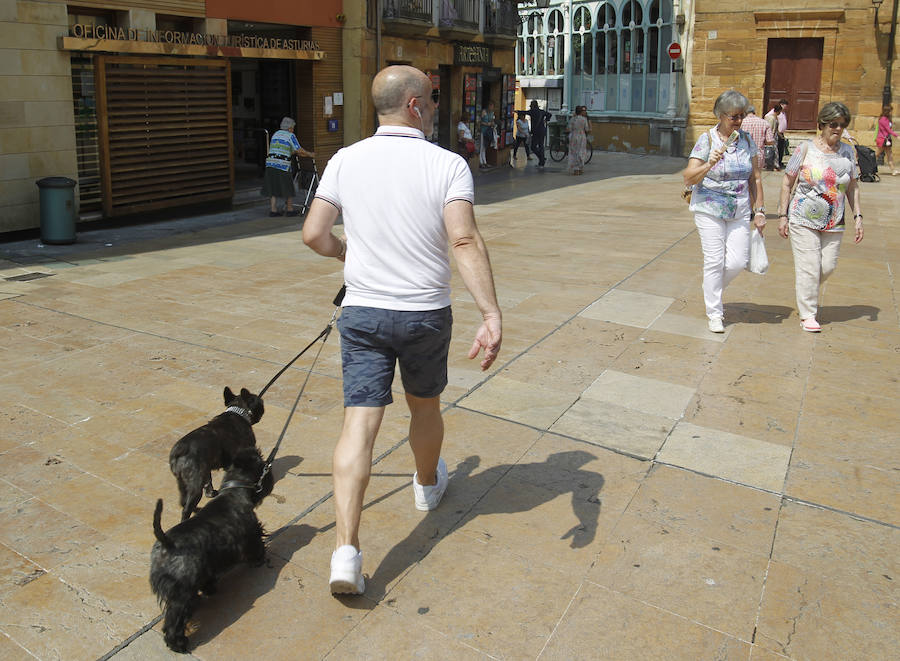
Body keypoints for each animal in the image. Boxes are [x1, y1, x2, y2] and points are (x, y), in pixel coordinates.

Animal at [150, 446, 274, 652]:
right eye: (262, 465)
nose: (270, 474)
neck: (234, 491)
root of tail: (167, 544)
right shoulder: (250, 534)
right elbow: (256, 546)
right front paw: (259, 560)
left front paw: (210, 589)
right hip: (182, 594)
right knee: (174, 620)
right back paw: (179, 644)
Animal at [170, 386, 264, 520]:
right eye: (260, 402)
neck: (238, 411)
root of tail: (180, 451)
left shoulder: (207, 468)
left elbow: (208, 481)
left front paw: (211, 493)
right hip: (195, 487)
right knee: (186, 509)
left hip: (182, 482)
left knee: (183, 501)